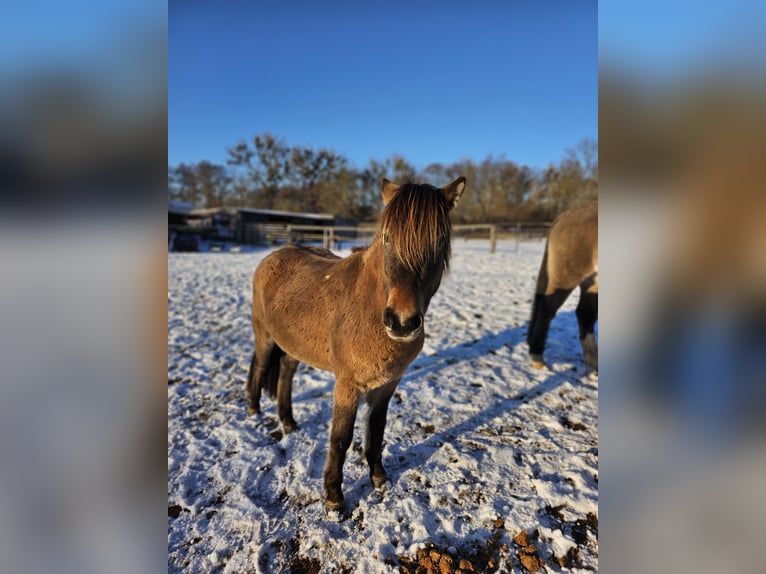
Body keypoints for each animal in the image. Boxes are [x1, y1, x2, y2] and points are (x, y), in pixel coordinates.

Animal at [249, 178, 464, 516]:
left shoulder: (388, 384)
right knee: (259, 366)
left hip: (294, 347)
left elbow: (376, 430)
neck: (370, 309)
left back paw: (289, 423)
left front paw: (379, 478)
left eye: (440, 240)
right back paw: (254, 413)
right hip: (265, 337)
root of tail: (274, 255)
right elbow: (341, 438)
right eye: (387, 238)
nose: (402, 322)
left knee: (285, 373)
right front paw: (334, 499)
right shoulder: (347, 385)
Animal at [528, 202, 600, 372]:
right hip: (567, 277)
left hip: (592, 281)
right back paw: (537, 357)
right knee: (546, 309)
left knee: (585, 314)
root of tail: (565, 215)